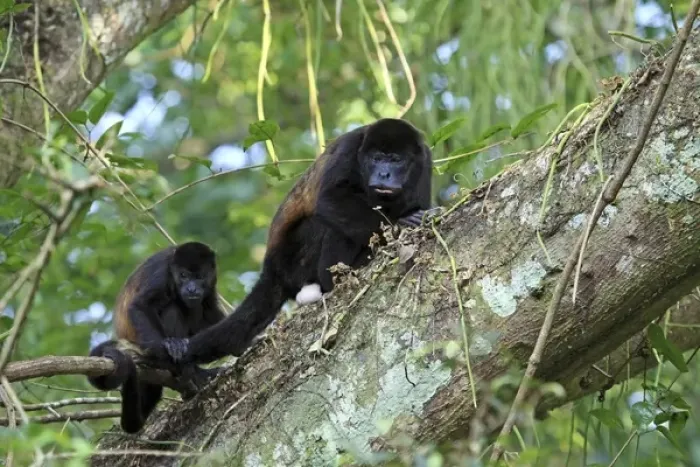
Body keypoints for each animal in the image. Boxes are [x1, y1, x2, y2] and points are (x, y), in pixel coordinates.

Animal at [87, 241, 226, 433]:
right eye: (183, 275)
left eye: (200, 277)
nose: (191, 288)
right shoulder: (161, 272)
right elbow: (140, 306)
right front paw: (171, 352)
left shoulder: (212, 282)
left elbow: (213, 311)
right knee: (173, 307)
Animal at [165, 118, 433, 366]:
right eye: (377, 159)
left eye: (396, 160)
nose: (383, 174)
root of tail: (271, 267)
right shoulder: (349, 149)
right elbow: (330, 199)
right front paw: (400, 223)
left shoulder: (425, 162)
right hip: (293, 260)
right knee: (324, 224)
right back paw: (339, 276)